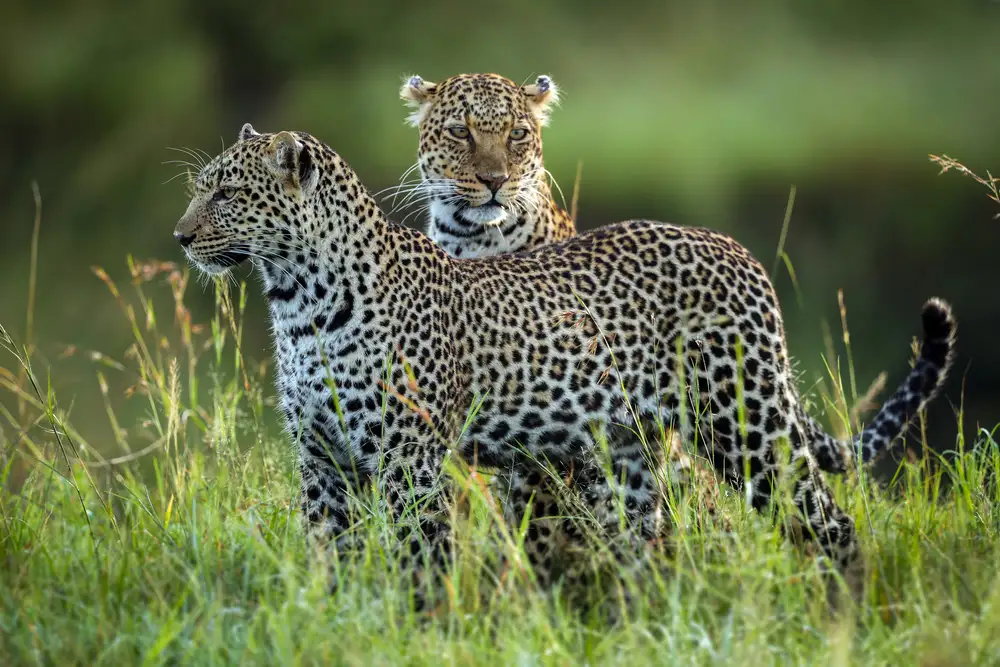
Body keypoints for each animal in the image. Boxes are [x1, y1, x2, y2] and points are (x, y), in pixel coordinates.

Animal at [173, 123, 957, 606]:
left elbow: (423, 566)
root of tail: (739, 250)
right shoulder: (322, 461)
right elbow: (327, 558)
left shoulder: (410, 461)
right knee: (643, 550)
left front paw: (420, 632)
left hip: (749, 427)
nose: (180, 236)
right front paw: (335, 618)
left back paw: (847, 619)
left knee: (833, 524)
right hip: (632, 454)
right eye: (202, 186)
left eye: (228, 193)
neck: (297, 302)